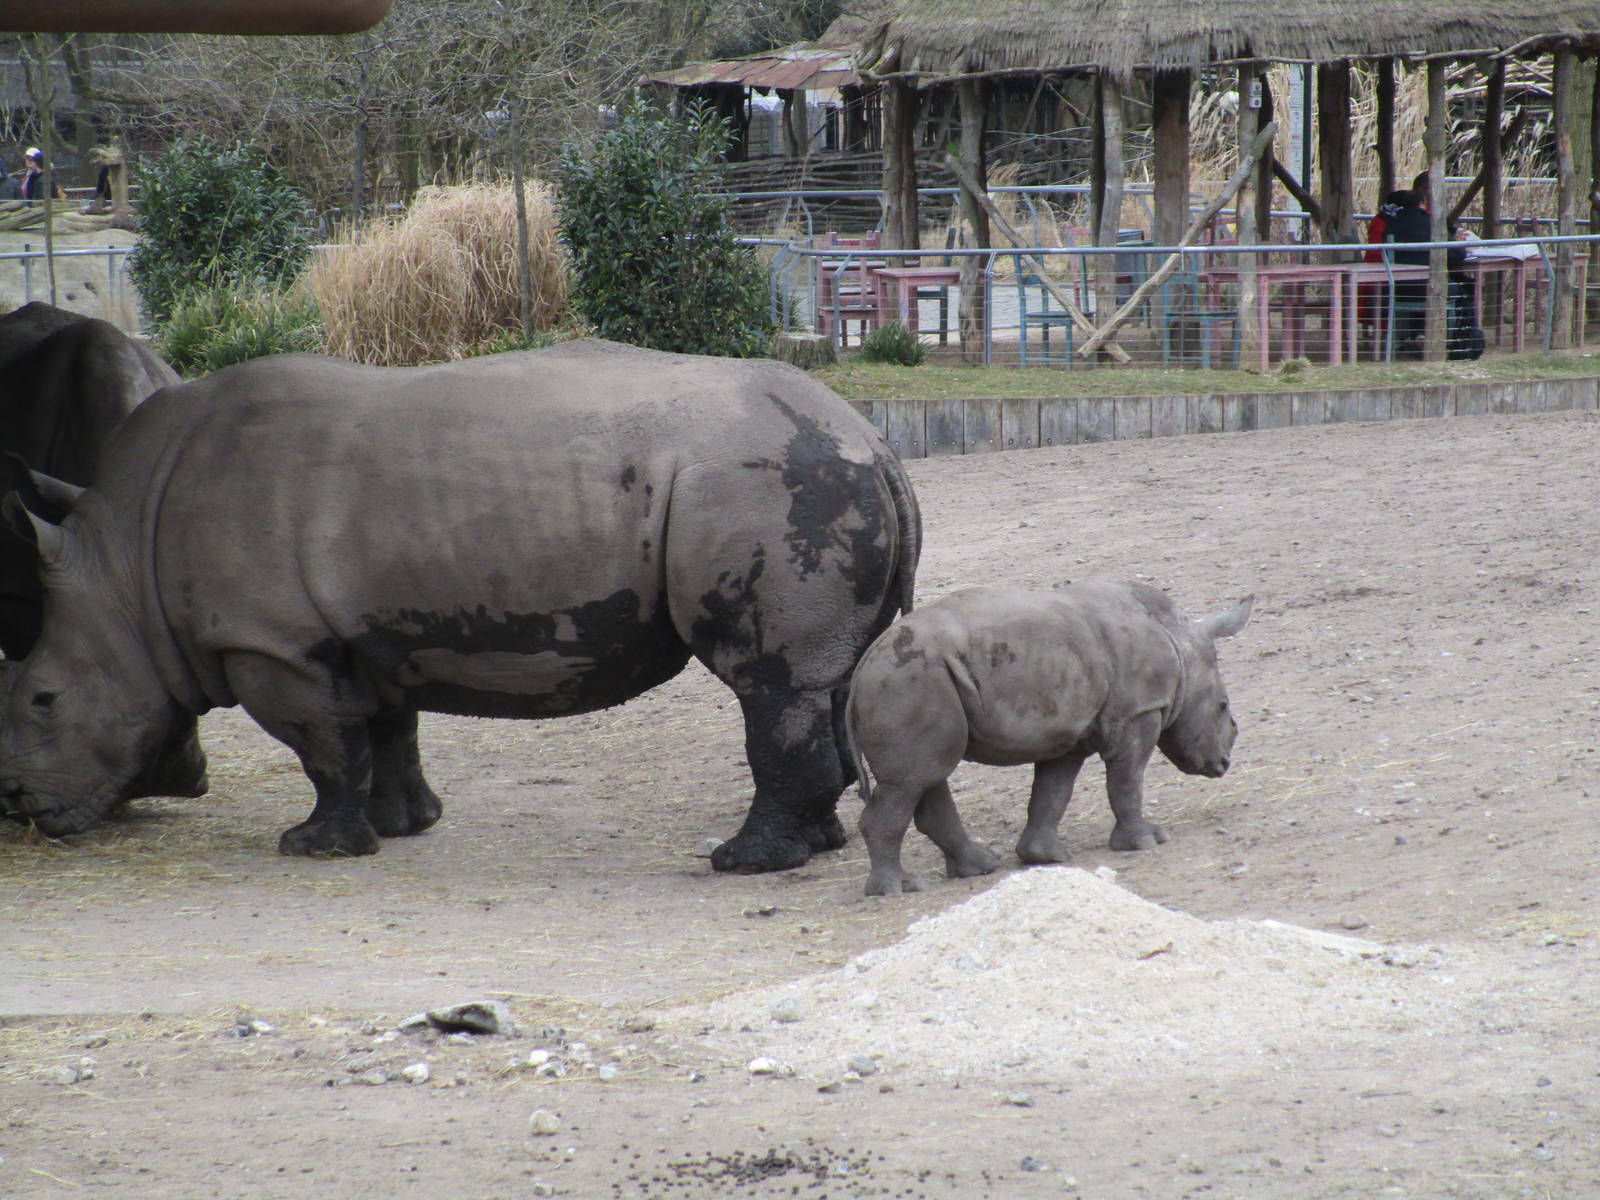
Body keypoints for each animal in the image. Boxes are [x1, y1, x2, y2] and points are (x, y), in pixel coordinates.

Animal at [0, 339, 919, 872]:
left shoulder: (272, 643)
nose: (17, 804)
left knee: (769, 683)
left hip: (768, 484)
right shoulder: (362, 630)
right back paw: (817, 844)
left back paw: (744, 862)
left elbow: (321, 745)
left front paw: (314, 848)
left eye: (41, 700)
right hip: (808, 475)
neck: (125, 568)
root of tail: (876, 442)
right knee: (827, 678)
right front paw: (406, 825)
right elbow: (381, 728)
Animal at [844, 582, 1252, 895]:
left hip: (918, 680)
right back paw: (898, 888)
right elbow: (1126, 780)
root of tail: (861, 670)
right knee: (911, 781)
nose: (1224, 762)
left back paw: (979, 866)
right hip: (909, 681)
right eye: (1222, 707)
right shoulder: (1138, 713)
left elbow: (1053, 791)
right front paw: (1146, 842)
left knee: (925, 774)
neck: (1181, 648)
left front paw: (1043, 857)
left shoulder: (1070, 733)